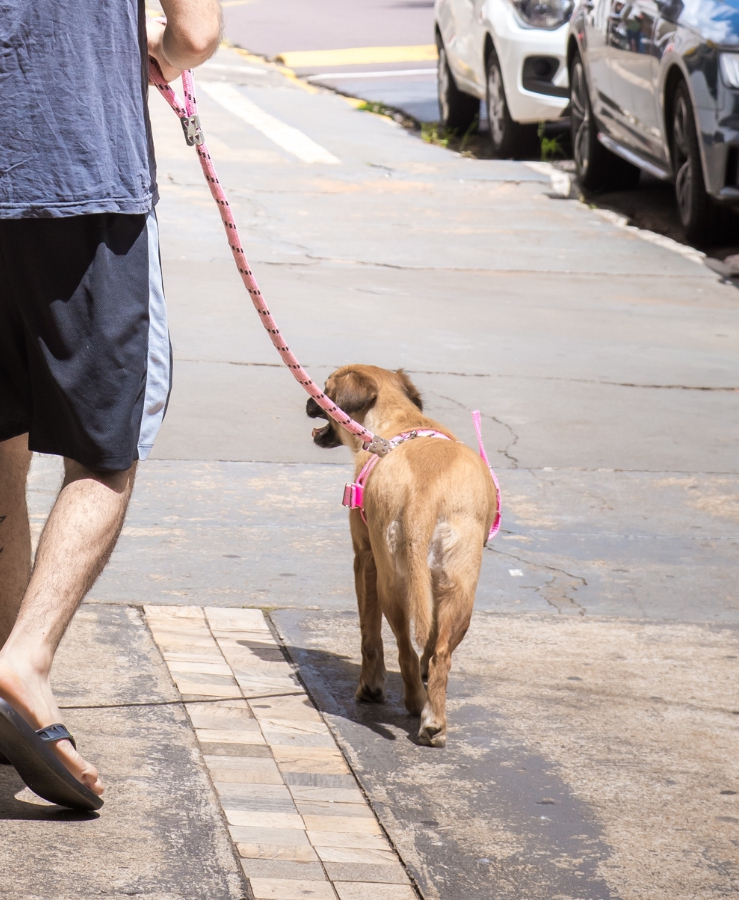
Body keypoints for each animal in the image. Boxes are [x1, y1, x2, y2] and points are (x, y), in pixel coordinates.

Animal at [306, 364, 498, 744]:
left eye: (325, 388)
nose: (309, 401)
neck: (399, 421)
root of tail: (426, 492)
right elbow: (430, 639)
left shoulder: (364, 558)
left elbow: (369, 634)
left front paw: (370, 686)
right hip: (456, 587)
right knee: (439, 654)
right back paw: (433, 719)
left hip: (391, 583)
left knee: (404, 648)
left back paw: (412, 703)